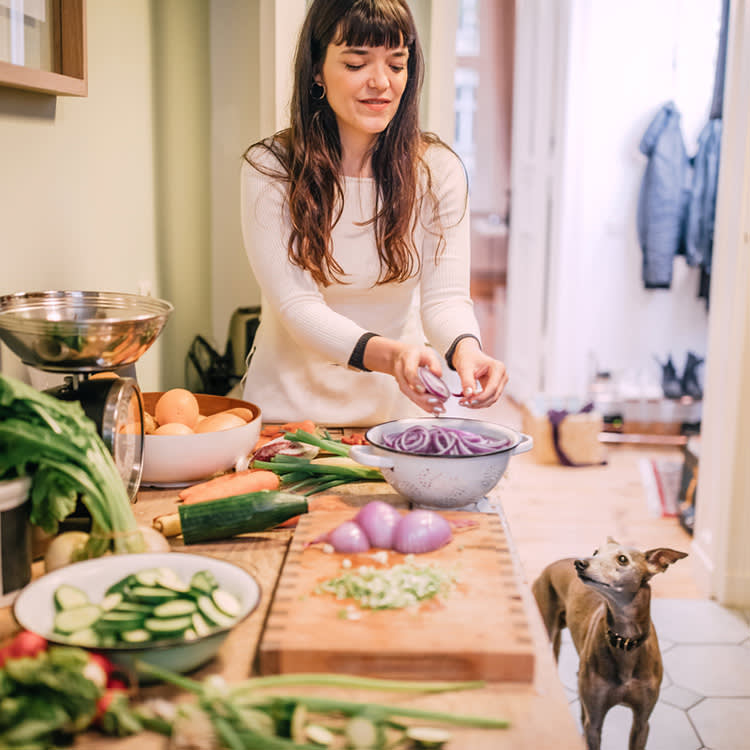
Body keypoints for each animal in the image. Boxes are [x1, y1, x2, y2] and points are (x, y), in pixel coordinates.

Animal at [536, 536, 688, 748]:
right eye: (595, 552)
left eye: (622, 559)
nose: (579, 563)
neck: (625, 642)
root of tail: (552, 565)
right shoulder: (595, 723)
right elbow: (592, 727)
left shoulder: (642, 723)